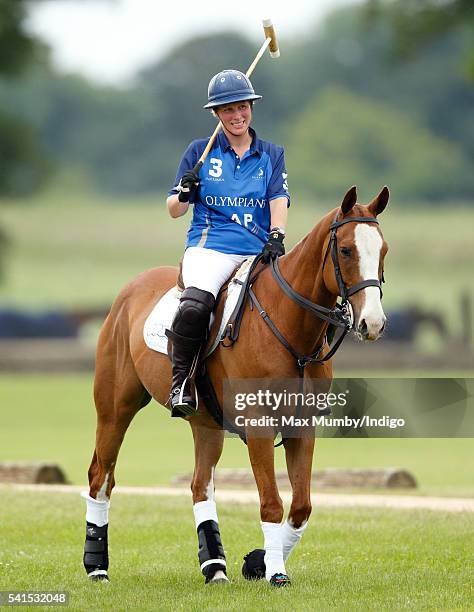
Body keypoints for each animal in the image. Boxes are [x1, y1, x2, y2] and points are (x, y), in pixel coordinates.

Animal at [82, 185, 388, 584]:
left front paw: (259, 561)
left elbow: (301, 506)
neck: (291, 326)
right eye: (347, 250)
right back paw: (96, 567)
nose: (373, 323)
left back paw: (214, 566)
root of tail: (130, 288)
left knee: (200, 485)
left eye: (383, 250)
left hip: (206, 422)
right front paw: (275, 573)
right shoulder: (258, 424)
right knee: (101, 476)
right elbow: (272, 503)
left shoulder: (302, 426)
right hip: (116, 406)